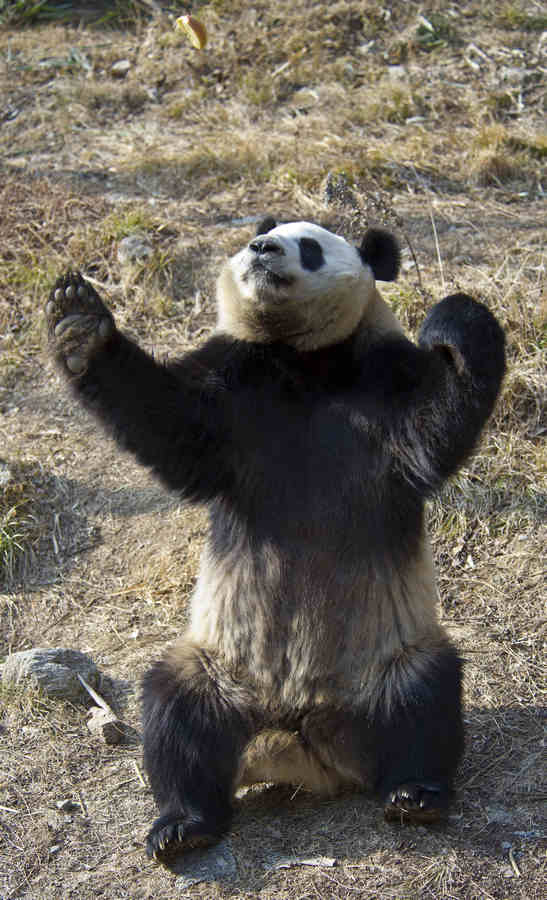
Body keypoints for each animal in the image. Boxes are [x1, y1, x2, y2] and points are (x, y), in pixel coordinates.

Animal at [45, 217, 505, 868]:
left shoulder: (382, 380)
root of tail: (300, 741)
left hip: (384, 658)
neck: (302, 361)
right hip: (221, 666)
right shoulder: (233, 388)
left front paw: (454, 320)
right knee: (177, 710)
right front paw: (78, 323)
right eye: (258, 236)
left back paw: (416, 794)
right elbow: (170, 425)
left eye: (309, 247)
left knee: (426, 696)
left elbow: (434, 428)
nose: (262, 250)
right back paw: (184, 825)